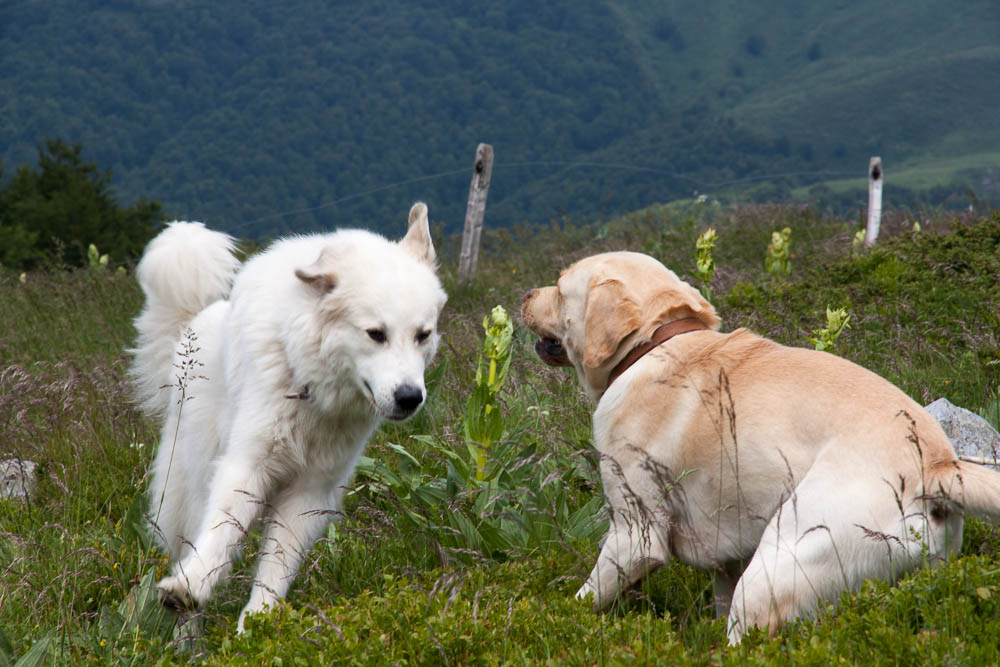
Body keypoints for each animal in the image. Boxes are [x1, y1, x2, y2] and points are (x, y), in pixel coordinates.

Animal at [130, 202, 446, 632]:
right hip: (192, 487)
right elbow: (222, 532)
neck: (311, 388)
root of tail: (193, 325)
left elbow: (276, 567)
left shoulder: (309, 492)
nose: (410, 397)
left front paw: (255, 628)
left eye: (422, 334)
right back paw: (188, 631)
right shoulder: (246, 467)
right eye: (376, 334)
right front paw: (189, 587)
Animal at [520, 250, 1000, 640]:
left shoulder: (633, 536)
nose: (524, 293)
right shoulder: (725, 558)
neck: (655, 345)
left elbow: (582, 600)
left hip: (772, 573)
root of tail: (935, 466)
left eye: (560, 288)